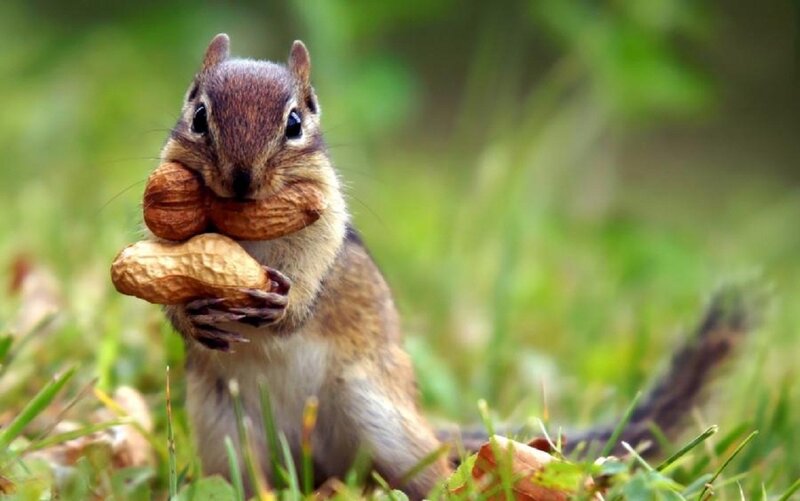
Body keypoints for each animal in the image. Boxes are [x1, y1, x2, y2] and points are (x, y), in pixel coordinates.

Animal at [156, 34, 764, 499]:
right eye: (199, 114)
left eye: (294, 123)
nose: (240, 181)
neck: (244, 233)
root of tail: (314, 461)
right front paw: (192, 317)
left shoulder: (325, 233)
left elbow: (310, 284)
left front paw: (284, 305)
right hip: (225, 436)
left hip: (383, 421)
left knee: (436, 477)